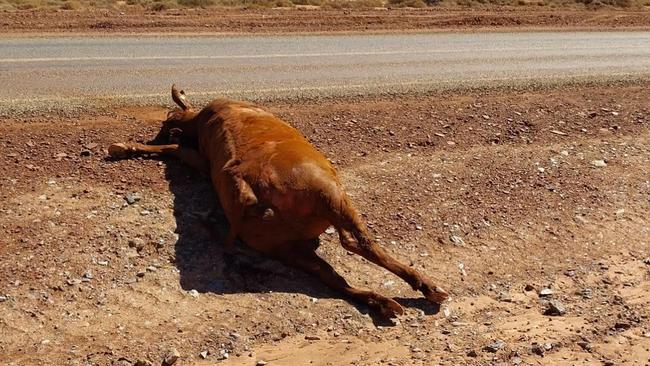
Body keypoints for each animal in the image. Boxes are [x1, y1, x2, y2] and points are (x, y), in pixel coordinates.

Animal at [110, 85, 446, 318]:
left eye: (164, 123)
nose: (160, 133)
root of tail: (252, 188)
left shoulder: (202, 159)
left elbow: (175, 149)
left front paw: (126, 146)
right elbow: (175, 149)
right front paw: (124, 146)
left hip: (301, 226)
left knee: (343, 259)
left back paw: (409, 295)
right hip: (315, 212)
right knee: (348, 255)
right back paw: (407, 295)